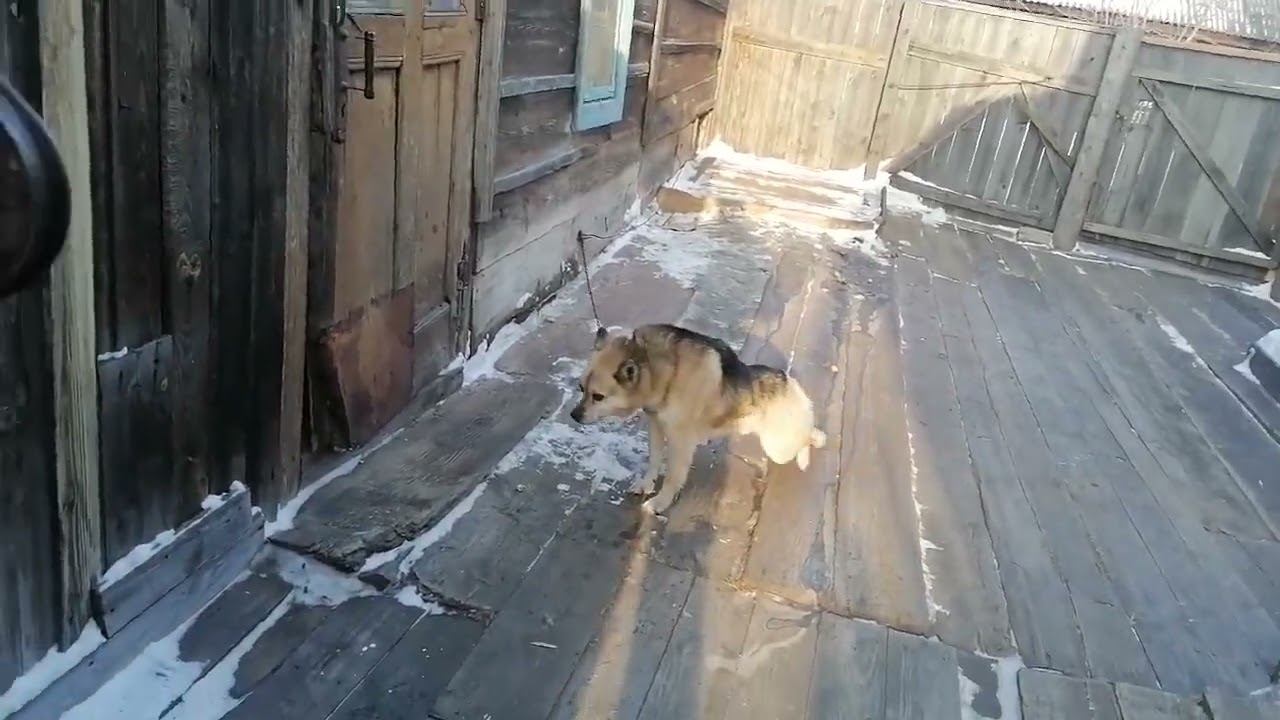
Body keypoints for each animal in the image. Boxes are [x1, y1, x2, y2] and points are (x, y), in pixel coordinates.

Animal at [570, 324, 827, 515]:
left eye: (598, 396)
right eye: (581, 388)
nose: (573, 415)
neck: (658, 369)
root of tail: (790, 382)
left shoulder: (680, 441)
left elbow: (673, 476)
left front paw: (660, 502)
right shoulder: (656, 426)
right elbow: (653, 460)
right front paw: (646, 484)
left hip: (778, 447)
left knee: (806, 437)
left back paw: (812, 447)